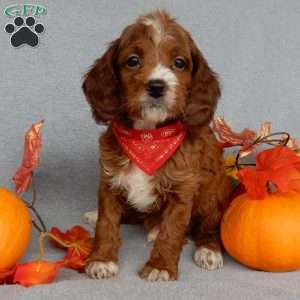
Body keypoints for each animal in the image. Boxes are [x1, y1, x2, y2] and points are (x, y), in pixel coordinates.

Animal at [82, 9, 232, 282]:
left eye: (180, 63)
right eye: (133, 61)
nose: (156, 86)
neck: (148, 137)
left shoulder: (183, 189)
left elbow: (171, 231)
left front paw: (160, 266)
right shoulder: (109, 180)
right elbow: (107, 222)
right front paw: (102, 260)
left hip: (214, 192)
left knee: (209, 225)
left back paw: (208, 250)